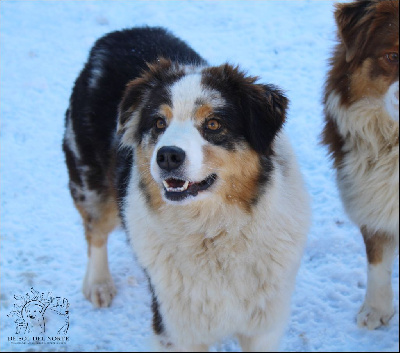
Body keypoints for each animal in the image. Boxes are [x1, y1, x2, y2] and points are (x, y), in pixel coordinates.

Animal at [64, 26, 310, 350]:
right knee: (95, 231)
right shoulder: (175, 326)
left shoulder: (264, 325)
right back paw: (98, 283)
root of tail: (117, 34)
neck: (212, 233)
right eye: (159, 123)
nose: (168, 156)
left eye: (214, 124)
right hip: (89, 181)